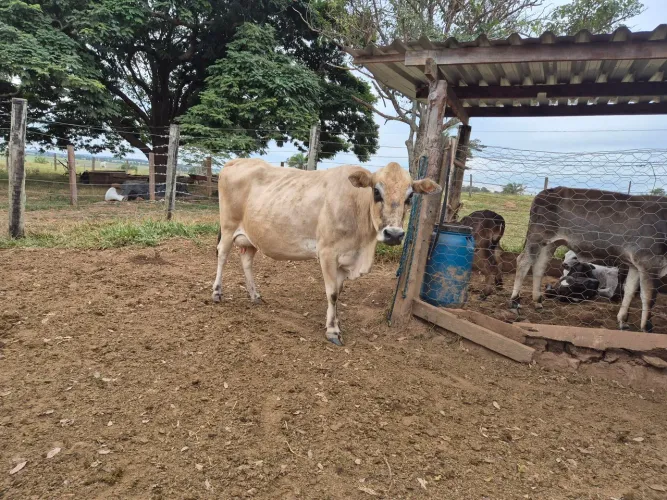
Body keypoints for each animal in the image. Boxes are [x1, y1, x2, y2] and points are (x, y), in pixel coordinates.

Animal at [211, 159, 442, 345]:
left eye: (410, 196)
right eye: (376, 191)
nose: (394, 234)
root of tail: (236, 161)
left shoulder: (344, 259)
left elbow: (338, 292)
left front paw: (335, 322)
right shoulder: (327, 253)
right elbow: (331, 293)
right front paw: (333, 331)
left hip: (251, 237)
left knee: (246, 261)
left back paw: (255, 295)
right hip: (228, 227)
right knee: (222, 256)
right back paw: (217, 293)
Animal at [509, 187, 667, 333]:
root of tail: (547, 191)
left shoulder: (635, 265)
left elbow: (629, 290)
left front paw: (622, 321)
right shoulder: (650, 263)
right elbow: (649, 297)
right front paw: (646, 328)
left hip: (550, 243)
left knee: (539, 267)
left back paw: (537, 301)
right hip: (537, 237)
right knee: (523, 262)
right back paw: (514, 302)